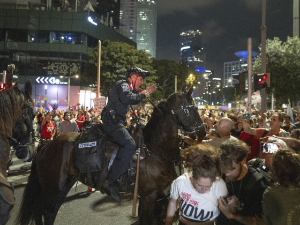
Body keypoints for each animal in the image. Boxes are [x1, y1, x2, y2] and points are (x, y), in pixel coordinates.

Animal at [17, 86, 204, 225]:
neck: (155, 150)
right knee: (39, 209)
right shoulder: (148, 198)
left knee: (49, 212)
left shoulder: (158, 200)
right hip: (52, 187)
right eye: (194, 107)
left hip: (62, 185)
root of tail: (46, 146)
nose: (202, 131)